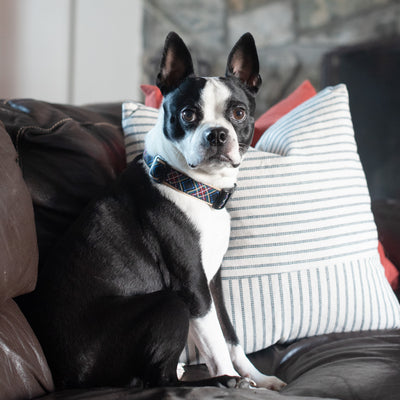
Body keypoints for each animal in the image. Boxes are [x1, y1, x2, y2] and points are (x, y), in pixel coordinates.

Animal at [25, 31, 286, 390]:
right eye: (188, 114)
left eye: (238, 114)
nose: (217, 134)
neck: (195, 187)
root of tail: (69, 376)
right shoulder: (192, 286)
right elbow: (216, 343)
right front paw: (232, 377)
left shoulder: (212, 281)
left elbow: (230, 335)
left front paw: (258, 377)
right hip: (170, 303)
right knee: (159, 379)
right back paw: (216, 381)